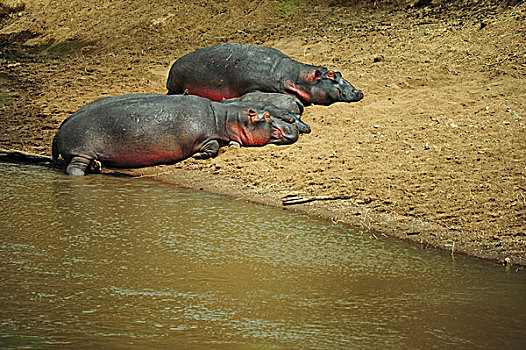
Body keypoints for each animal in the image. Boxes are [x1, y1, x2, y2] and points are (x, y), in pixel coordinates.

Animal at [53, 93, 302, 176]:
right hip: (82, 151)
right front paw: (199, 156)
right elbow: (212, 147)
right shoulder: (204, 136)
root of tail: (59, 130)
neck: (225, 117)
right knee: (74, 168)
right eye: (267, 115)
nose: (295, 127)